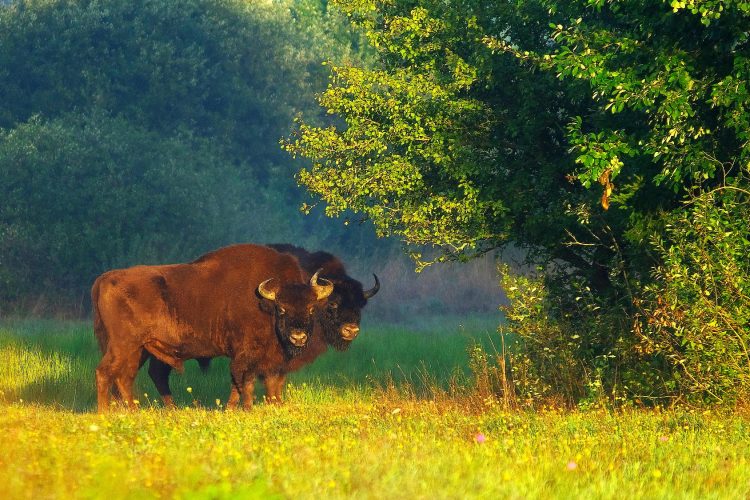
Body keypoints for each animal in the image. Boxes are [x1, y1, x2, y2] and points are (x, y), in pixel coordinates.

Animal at [91, 244, 332, 412]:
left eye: (311, 309)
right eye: (281, 309)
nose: (298, 337)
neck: (264, 304)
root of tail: (105, 278)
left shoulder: (270, 360)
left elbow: (267, 383)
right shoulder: (246, 355)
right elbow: (244, 381)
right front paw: (246, 408)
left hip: (139, 349)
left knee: (128, 377)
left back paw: (141, 410)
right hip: (123, 345)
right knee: (106, 372)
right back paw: (105, 413)